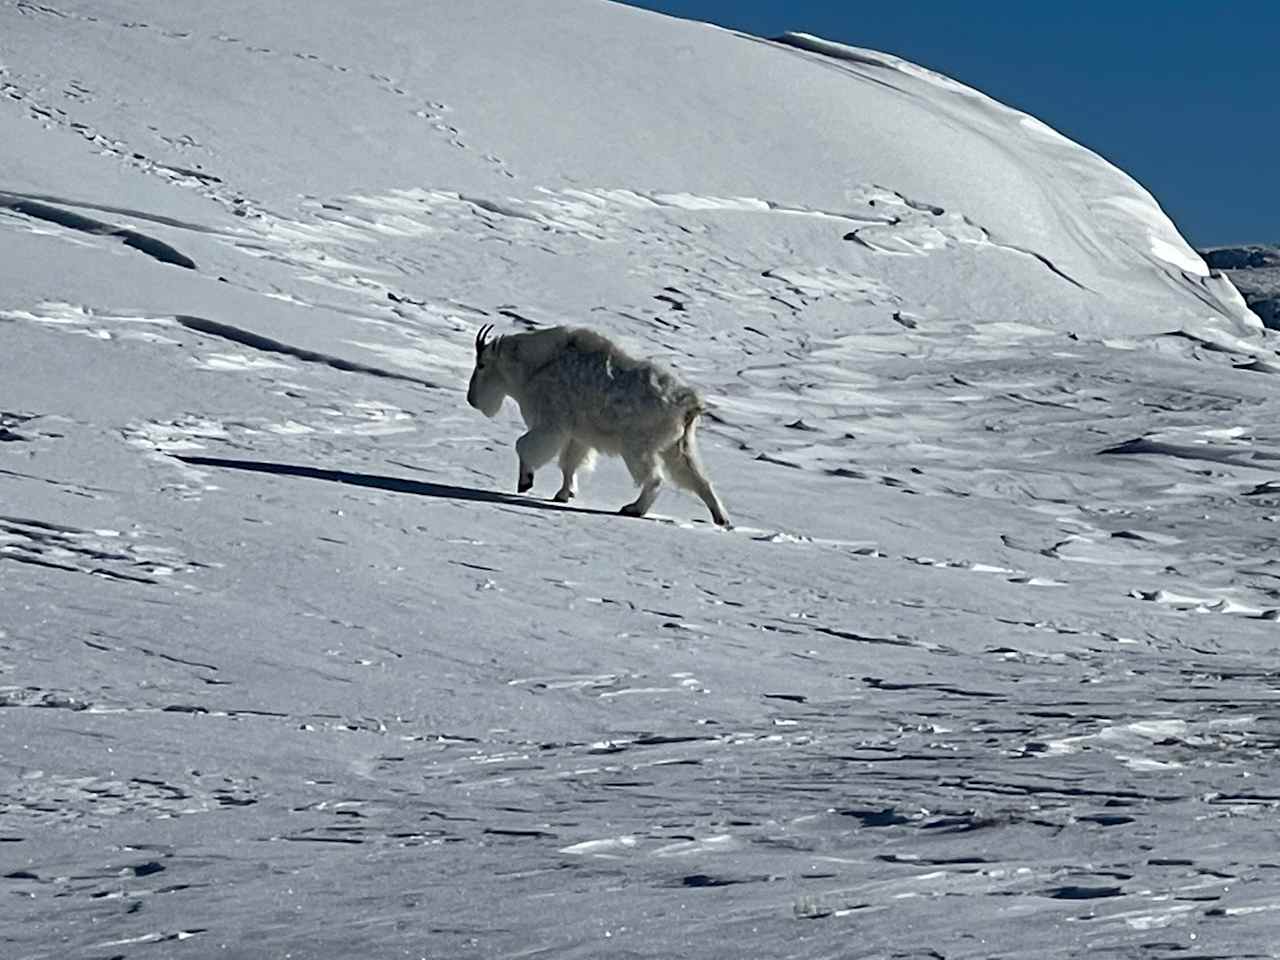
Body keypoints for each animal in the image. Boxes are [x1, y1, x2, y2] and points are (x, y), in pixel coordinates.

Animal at [468, 330, 732, 527]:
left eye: (481, 365)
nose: (472, 400)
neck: (535, 367)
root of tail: (689, 404)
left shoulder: (551, 425)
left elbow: (524, 446)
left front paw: (525, 482)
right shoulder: (577, 436)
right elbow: (569, 464)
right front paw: (564, 494)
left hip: (637, 446)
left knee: (655, 478)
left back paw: (633, 509)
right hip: (678, 447)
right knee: (698, 480)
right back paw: (722, 519)